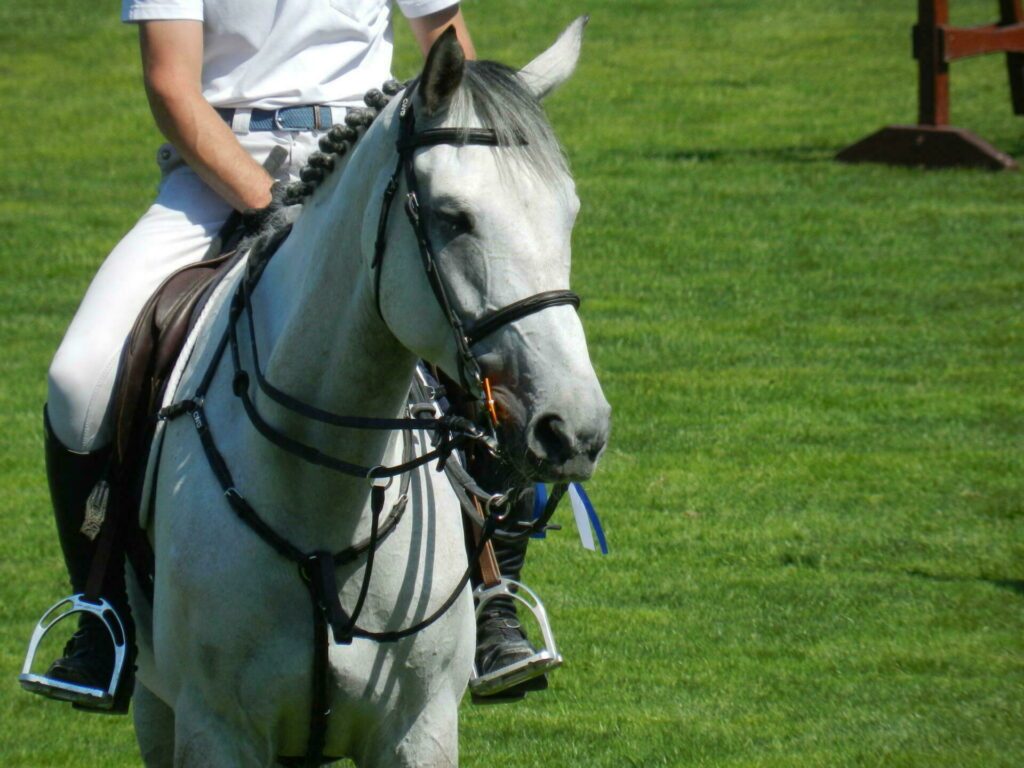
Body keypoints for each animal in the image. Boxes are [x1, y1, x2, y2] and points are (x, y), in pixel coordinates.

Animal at [128, 19, 606, 768]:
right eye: (453, 217)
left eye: (570, 214)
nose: (576, 429)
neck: (324, 498)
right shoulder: (215, 729)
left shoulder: (418, 728)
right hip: (157, 706)